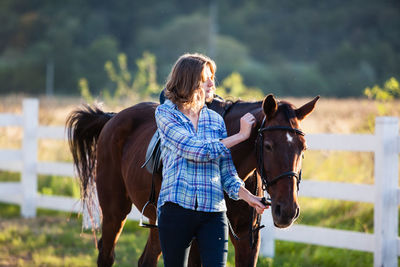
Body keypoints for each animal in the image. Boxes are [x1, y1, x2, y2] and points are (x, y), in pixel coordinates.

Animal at [67, 93, 320, 266]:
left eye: (303, 148)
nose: (287, 211)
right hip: (114, 212)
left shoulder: (248, 239)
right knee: (106, 254)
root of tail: (112, 118)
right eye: (268, 146)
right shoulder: (197, 240)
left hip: (158, 223)